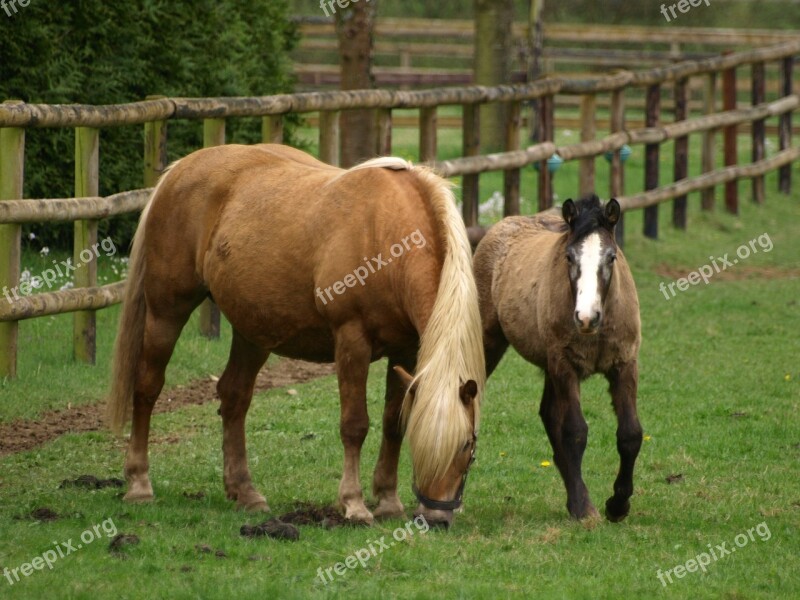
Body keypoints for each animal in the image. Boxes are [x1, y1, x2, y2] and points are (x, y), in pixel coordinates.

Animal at [105, 143, 482, 528]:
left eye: (468, 444)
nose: (436, 518)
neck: (387, 234)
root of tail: (180, 169)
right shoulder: (352, 341)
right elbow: (354, 425)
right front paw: (354, 504)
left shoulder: (405, 350)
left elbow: (393, 423)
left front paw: (389, 501)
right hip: (166, 314)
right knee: (147, 388)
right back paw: (139, 484)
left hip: (253, 331)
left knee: (234, 397)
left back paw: (245, 492)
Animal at [476, 196, 644, 520]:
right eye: (569, 257)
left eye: (611, 257)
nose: (586, 317)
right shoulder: (565, 366)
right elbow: (575, 431)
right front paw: (584, 509)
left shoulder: (624, 364)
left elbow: (630, 434)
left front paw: (618, 505)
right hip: (491, 341)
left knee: (549, 413)